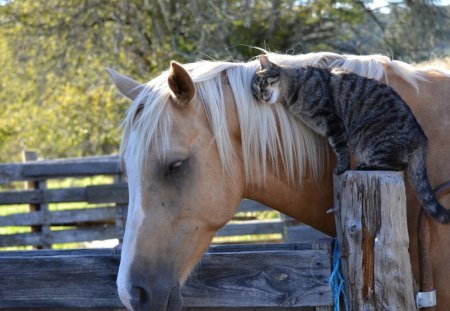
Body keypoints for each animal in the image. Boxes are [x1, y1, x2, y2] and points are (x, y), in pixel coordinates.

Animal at [251, 54, 448, 224]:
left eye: (263, 82)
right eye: (255, 93)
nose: (261, 96)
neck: (293, 89)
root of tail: (421, 137)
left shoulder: (332, 121)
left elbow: (340, 148)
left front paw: (341, 167)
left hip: (369, 139)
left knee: (397, 165)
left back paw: (366, 166)